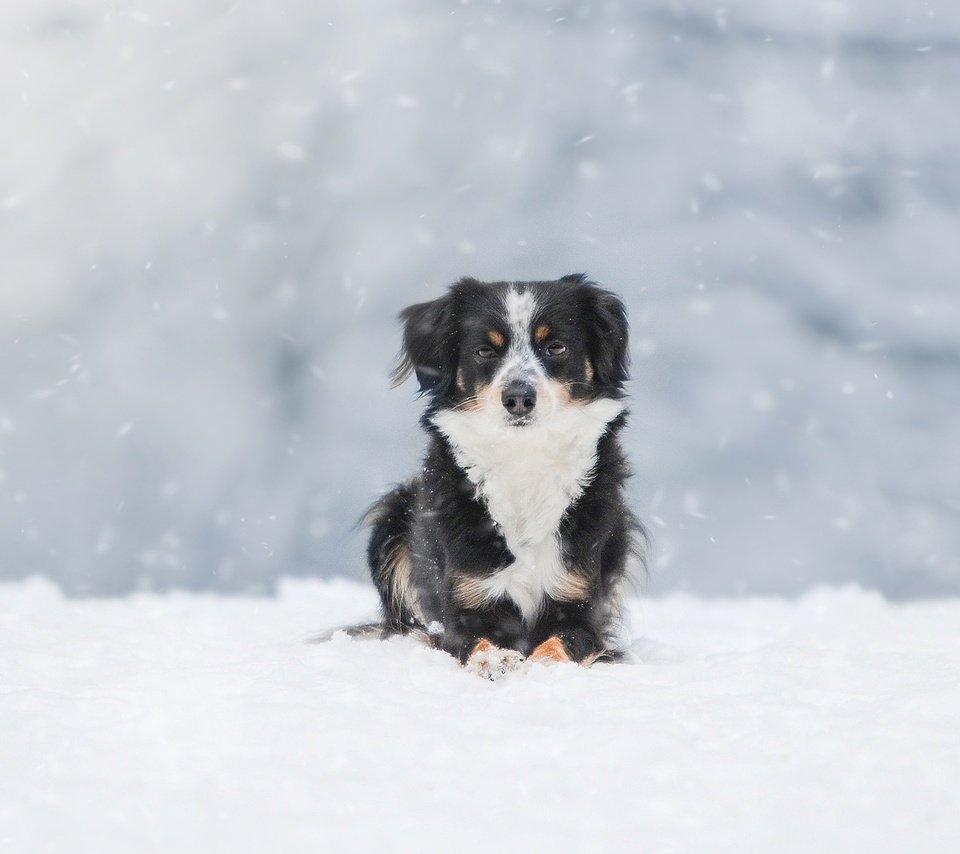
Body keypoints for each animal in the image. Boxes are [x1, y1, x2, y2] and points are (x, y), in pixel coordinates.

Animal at [364, 278, 640, 680]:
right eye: (484, 351)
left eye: (555, 347)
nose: (519, 398)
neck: (523, 455)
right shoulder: (465, 601)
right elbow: (475, 640)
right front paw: (495, 660)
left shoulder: (580, 600)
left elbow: (564, 642)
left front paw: (541, 664)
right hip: (392, 519)